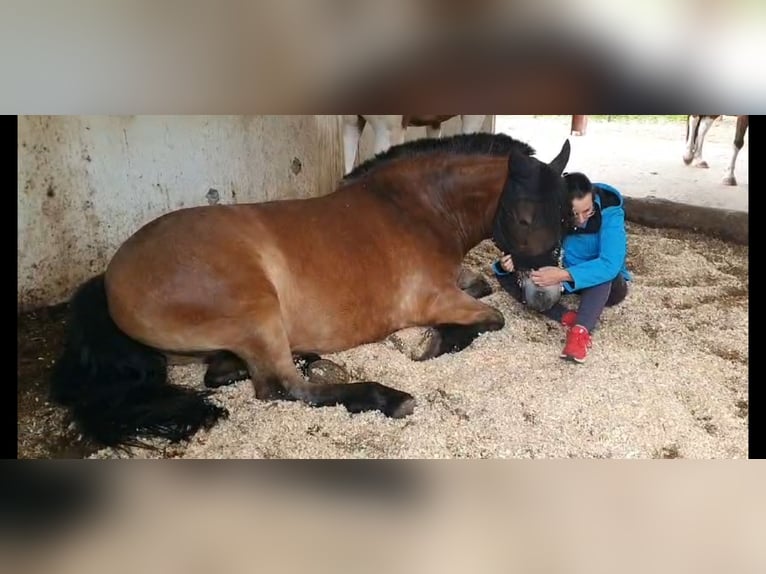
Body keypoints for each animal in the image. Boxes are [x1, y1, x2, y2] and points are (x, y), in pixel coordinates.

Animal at [48, 134, 572, 450]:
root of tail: (110, 280)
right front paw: (434, 343)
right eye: (523, 216)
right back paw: (387, 397)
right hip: (256, 310)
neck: (415, 209)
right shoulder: (433, 299)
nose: (548, 298)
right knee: (279, 387)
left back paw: (306, 356)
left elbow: (481, 285)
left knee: (225, 374)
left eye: (567, 216)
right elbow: (490, 318)